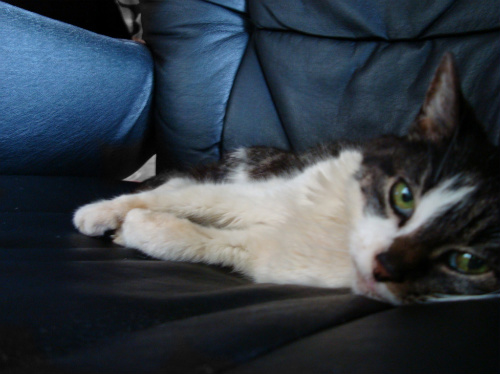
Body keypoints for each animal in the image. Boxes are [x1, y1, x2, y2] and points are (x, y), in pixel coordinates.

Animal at [74, 53, 500, 304]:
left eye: (468, 261)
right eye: (404, 195)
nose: (385, 266)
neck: (342, 228)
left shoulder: (269, 253)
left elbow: (200, 241)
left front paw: (141, 229)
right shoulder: (269, 192)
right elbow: (187, 199)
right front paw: (101, 214)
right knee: (182, 185)